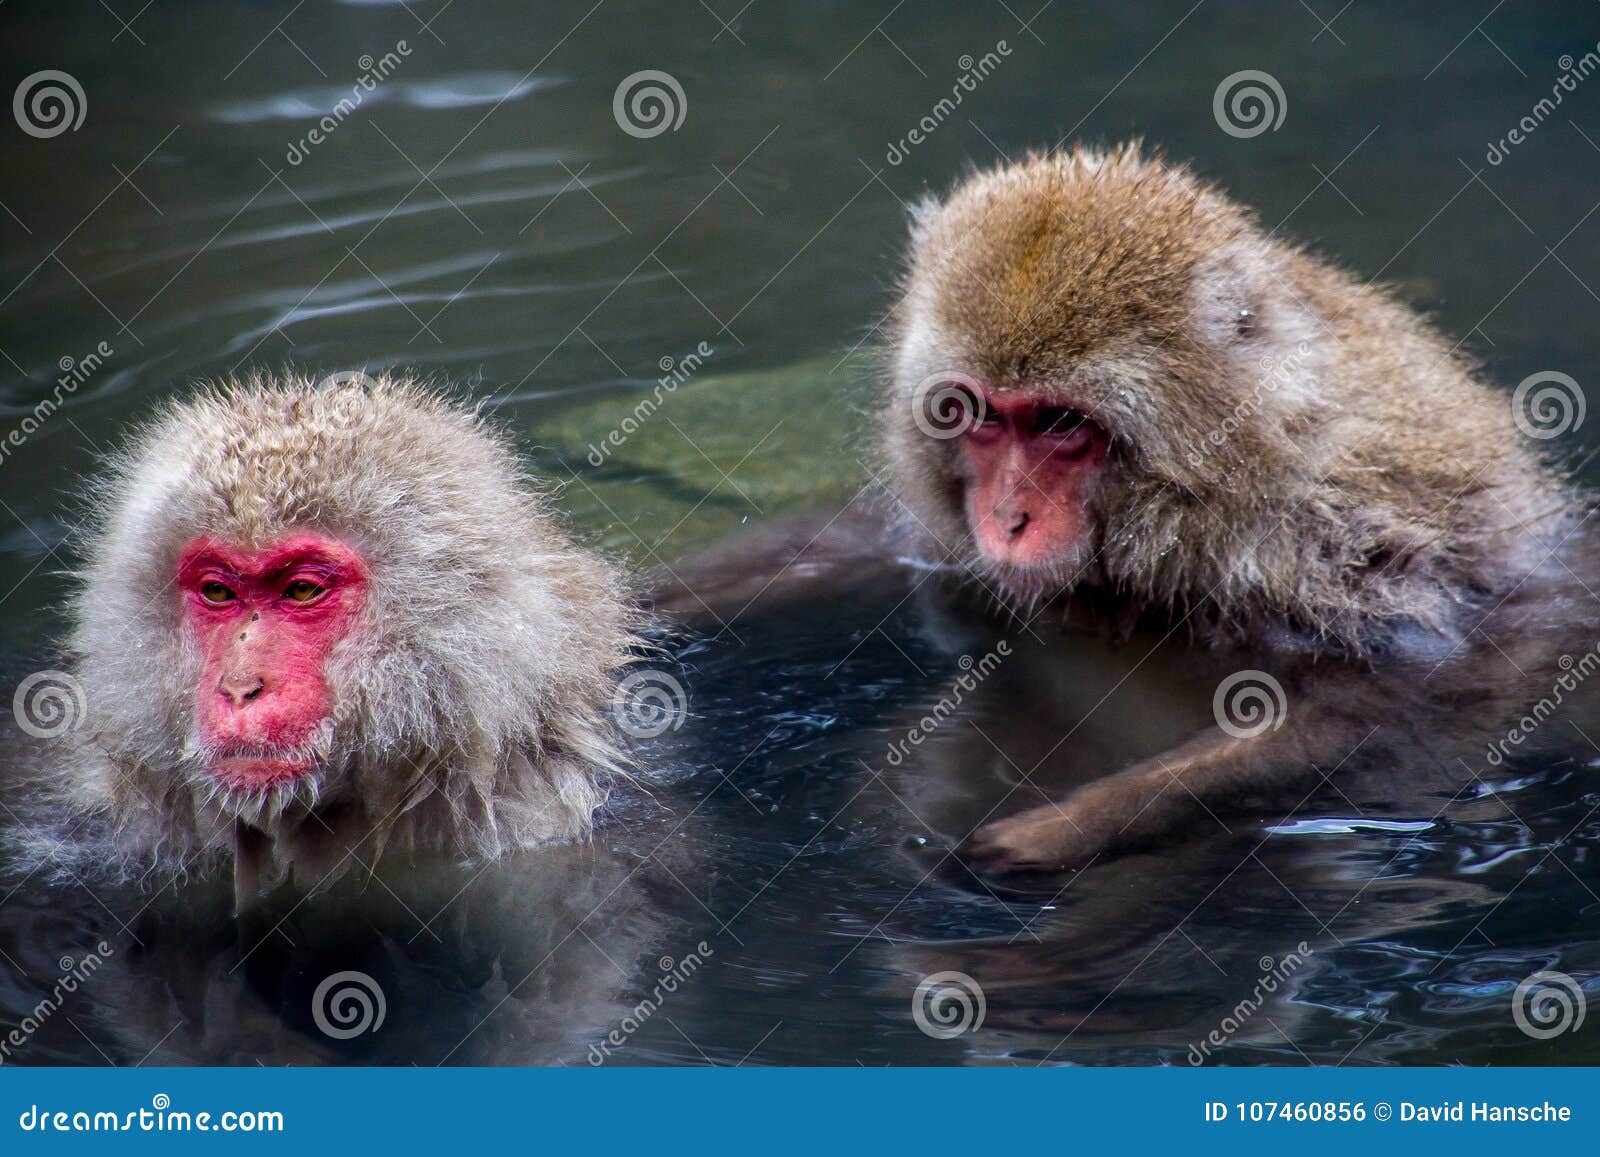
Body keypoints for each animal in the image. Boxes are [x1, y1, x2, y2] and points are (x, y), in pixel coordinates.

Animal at [889, 142, 1587, 870]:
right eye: (981, 413)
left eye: (1058, 422)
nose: (1008, 521)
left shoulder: (1329, 544)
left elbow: (1416, 702)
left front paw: (1063, 828)